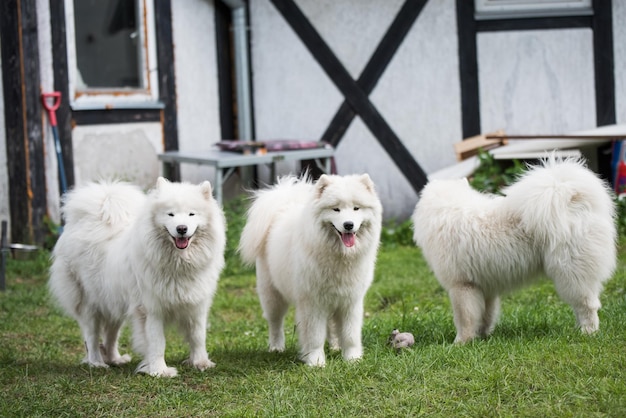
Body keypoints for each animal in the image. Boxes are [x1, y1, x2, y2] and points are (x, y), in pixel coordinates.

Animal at [48, 178, 224, 378]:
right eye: (170, 214)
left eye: (191, 214)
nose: (181, 228)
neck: (178, 264)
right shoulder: (152, 309)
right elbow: (157, 342)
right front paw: (159, 371)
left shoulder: (197, 305)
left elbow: (198, 336)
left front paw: (201, 363)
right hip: (89, 304)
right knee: (91, 337)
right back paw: (97, 363)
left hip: (113, 302)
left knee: (111, 335)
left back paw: (115, 359)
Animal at [238, 173, 380, 366]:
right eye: (336, 209)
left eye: (356, 208)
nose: (348, 224)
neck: (340, 257)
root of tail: (282, 207)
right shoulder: (313, 303)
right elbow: (314, 337)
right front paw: (316, 361)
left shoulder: (350, 301)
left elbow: (350, 335)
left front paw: (352, 359)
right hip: (272, 295)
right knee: (275, 323)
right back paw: (276, 347)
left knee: (331, 325)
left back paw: (335, 346)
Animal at [410, 156, 616, 342]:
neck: (448, 208)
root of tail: (572, 196)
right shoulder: (486, 286)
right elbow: (486, 315)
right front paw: (482, 336)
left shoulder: (461, 286)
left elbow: (464, 319)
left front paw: (461, 342)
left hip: (570, 273)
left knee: (587, 305)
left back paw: (588, 332)